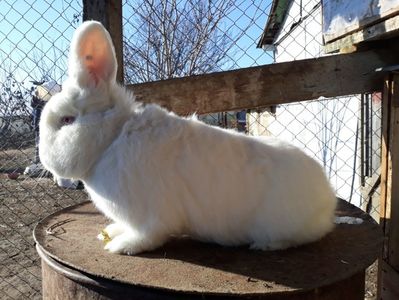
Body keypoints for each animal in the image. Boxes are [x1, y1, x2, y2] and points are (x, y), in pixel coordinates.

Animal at [39, 21, 338, 255]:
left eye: (67, 120)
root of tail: (327, 200)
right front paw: (114, 231)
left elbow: (148, 236)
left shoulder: (151, 215)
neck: (112, 138)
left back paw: (266, 245)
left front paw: (121, 246)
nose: (43, 158)